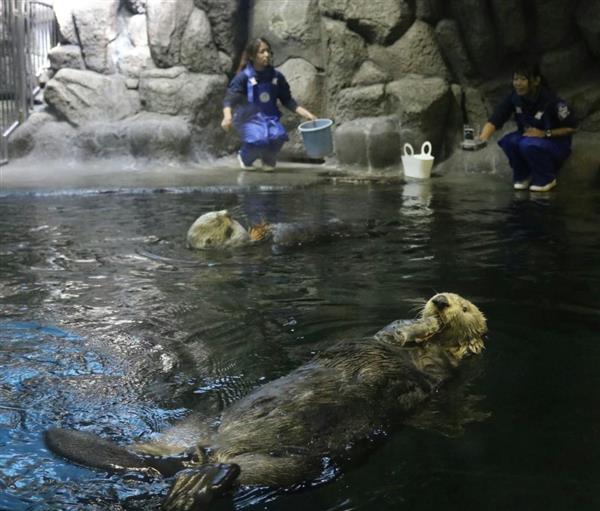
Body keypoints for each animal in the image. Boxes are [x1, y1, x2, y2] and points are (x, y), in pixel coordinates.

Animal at [47, 294, 488, 510]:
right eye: (440, 297)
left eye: (465, 305)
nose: (440, 302)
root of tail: (201, 455)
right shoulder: (389, 336)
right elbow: (394, 332)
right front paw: (419, 325)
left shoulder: (443, 376)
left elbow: (437, 375)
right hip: (197, 428)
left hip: (293, 465)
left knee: (241, 476)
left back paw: (197, 488)